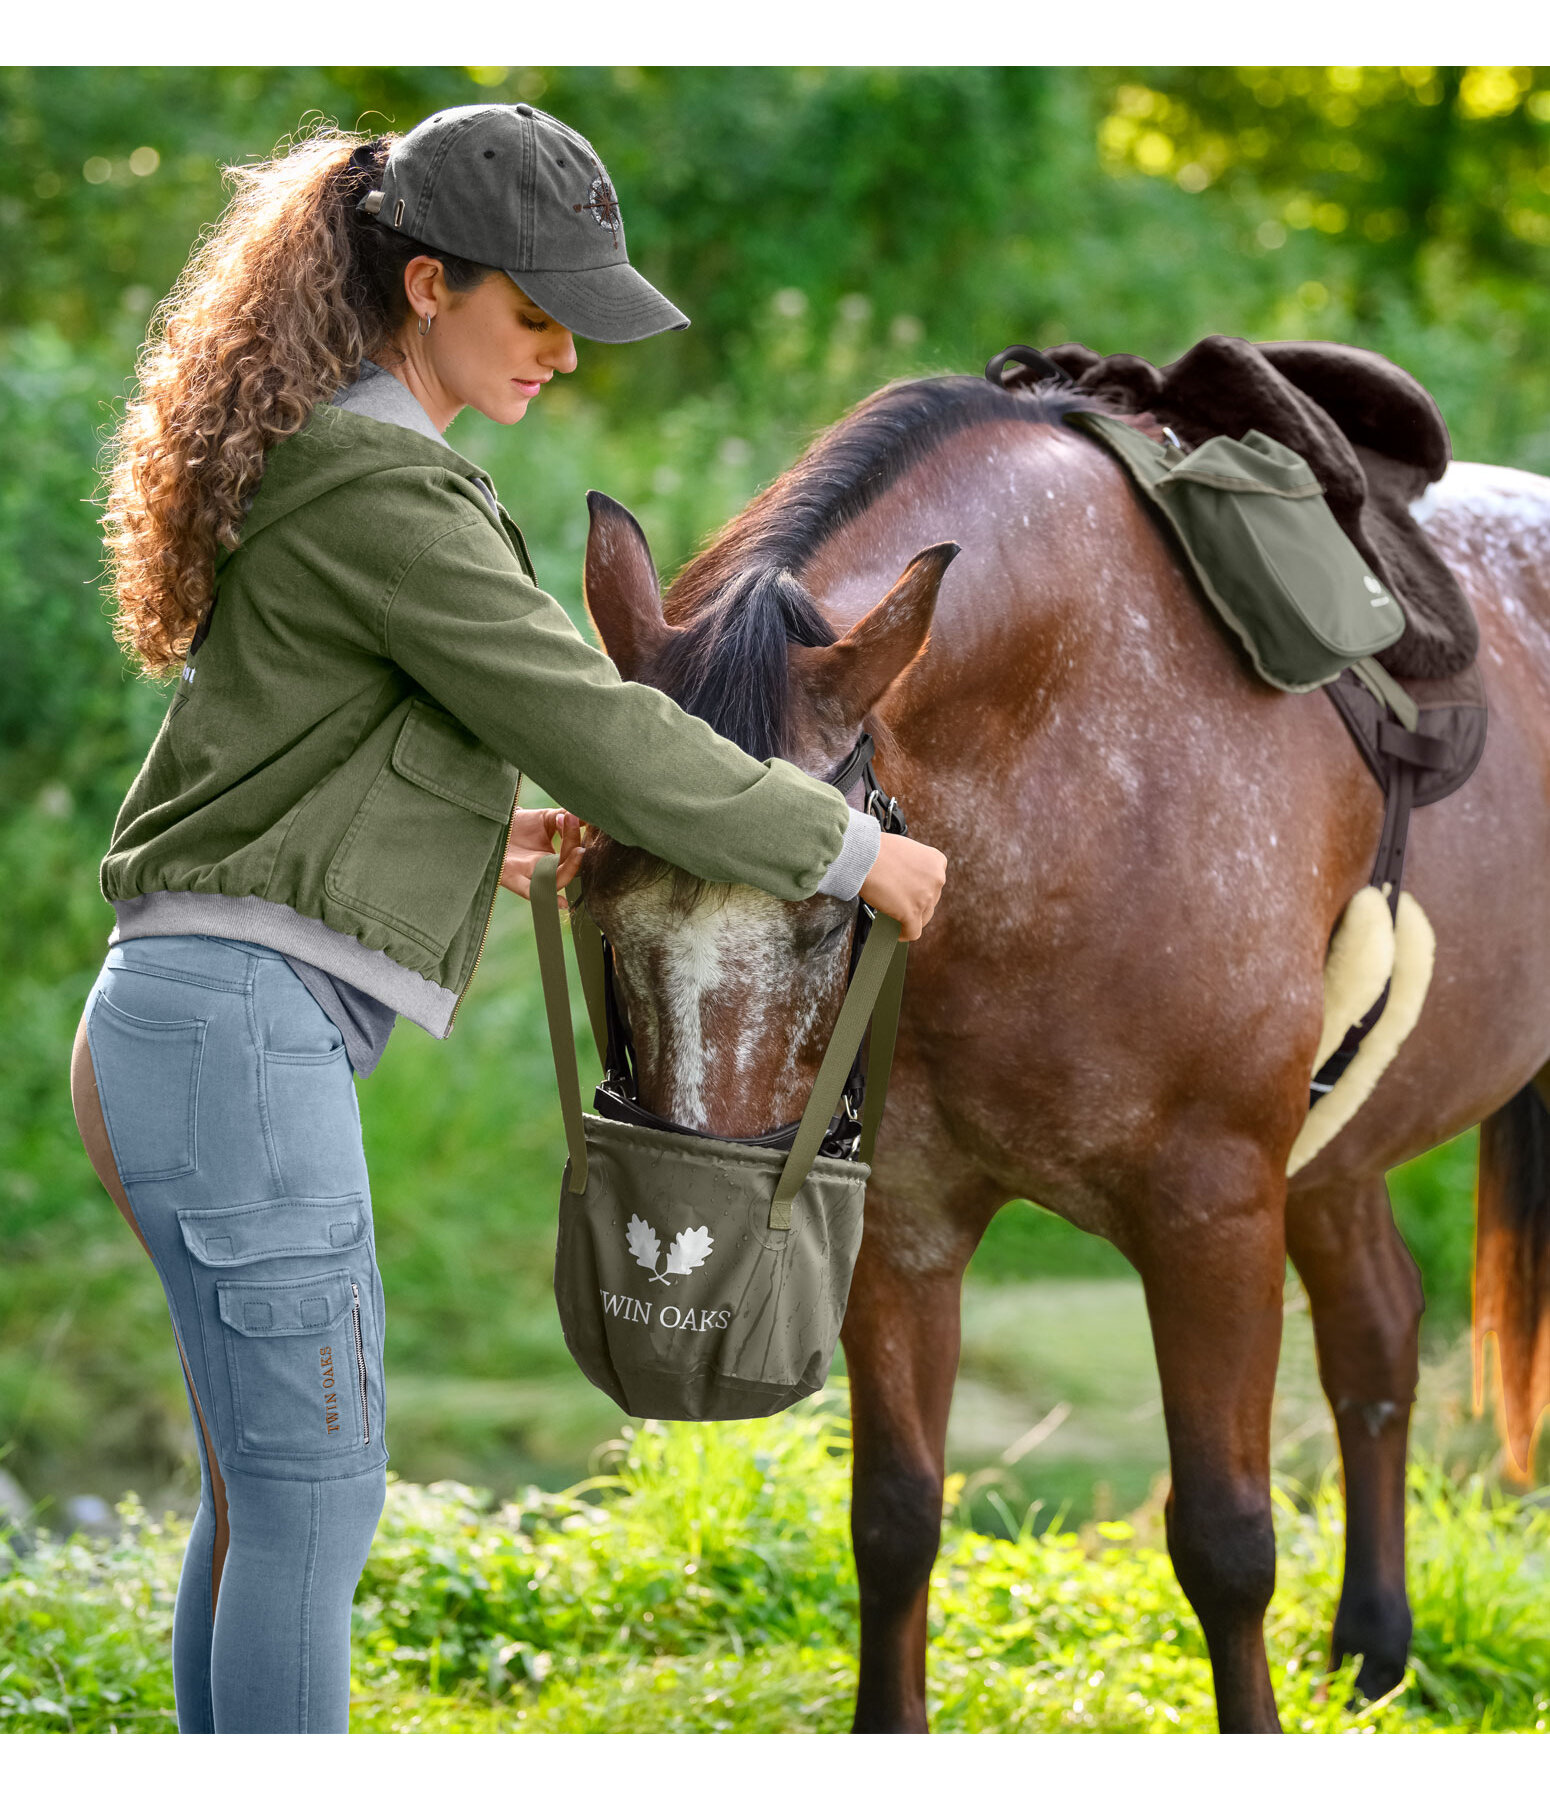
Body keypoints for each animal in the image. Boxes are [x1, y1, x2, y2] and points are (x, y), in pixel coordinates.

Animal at [572, 376, 1548, 1728]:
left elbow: (1226, 1544)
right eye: (600, 898)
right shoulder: (903, 1224)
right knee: (1377, 1334)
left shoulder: (1210, 1218)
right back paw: (1371, 1649)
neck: (1074, 768)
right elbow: (893, 1523)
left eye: (825, 913)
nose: (693, 1287)